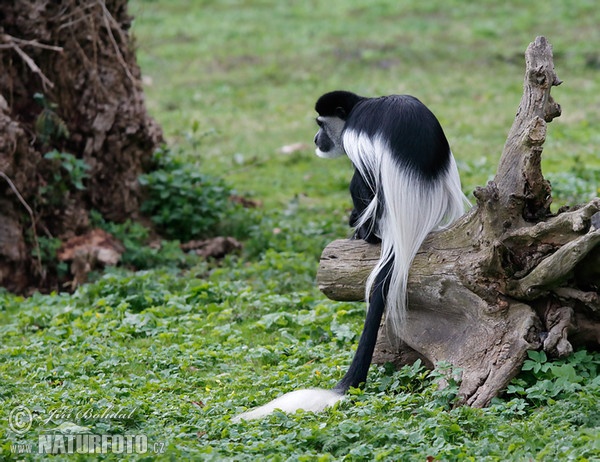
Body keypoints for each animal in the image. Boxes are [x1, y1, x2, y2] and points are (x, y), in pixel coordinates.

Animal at [234, 89, 468, 422]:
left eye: (321, 124)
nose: (316, 138)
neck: (361, 104)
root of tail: (410, 230)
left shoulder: (357, 135)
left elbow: (362, 180)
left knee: (362, 181)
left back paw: (364, 233)